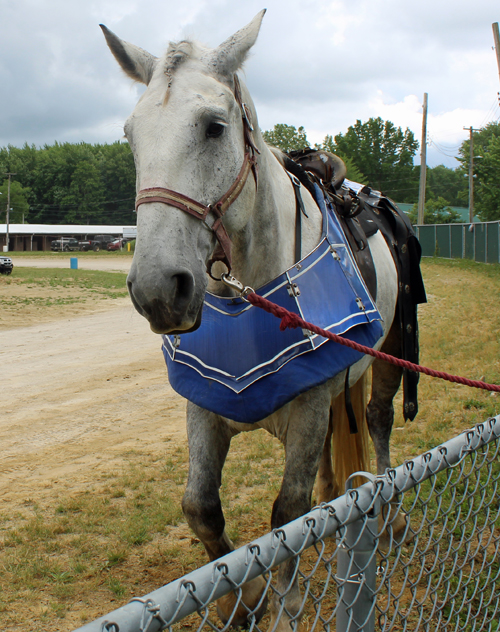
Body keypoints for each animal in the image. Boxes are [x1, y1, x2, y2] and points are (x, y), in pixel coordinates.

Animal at [101, 11, 414, 632]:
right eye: (130, 135)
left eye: (214, 127)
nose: (157, 289)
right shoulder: (204, 406)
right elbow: (201, 507)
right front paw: (238, 601)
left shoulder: (309, 409)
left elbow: (287, 517)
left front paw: (285, 603)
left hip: (389, 351)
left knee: (378, 418)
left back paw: (386, 516)